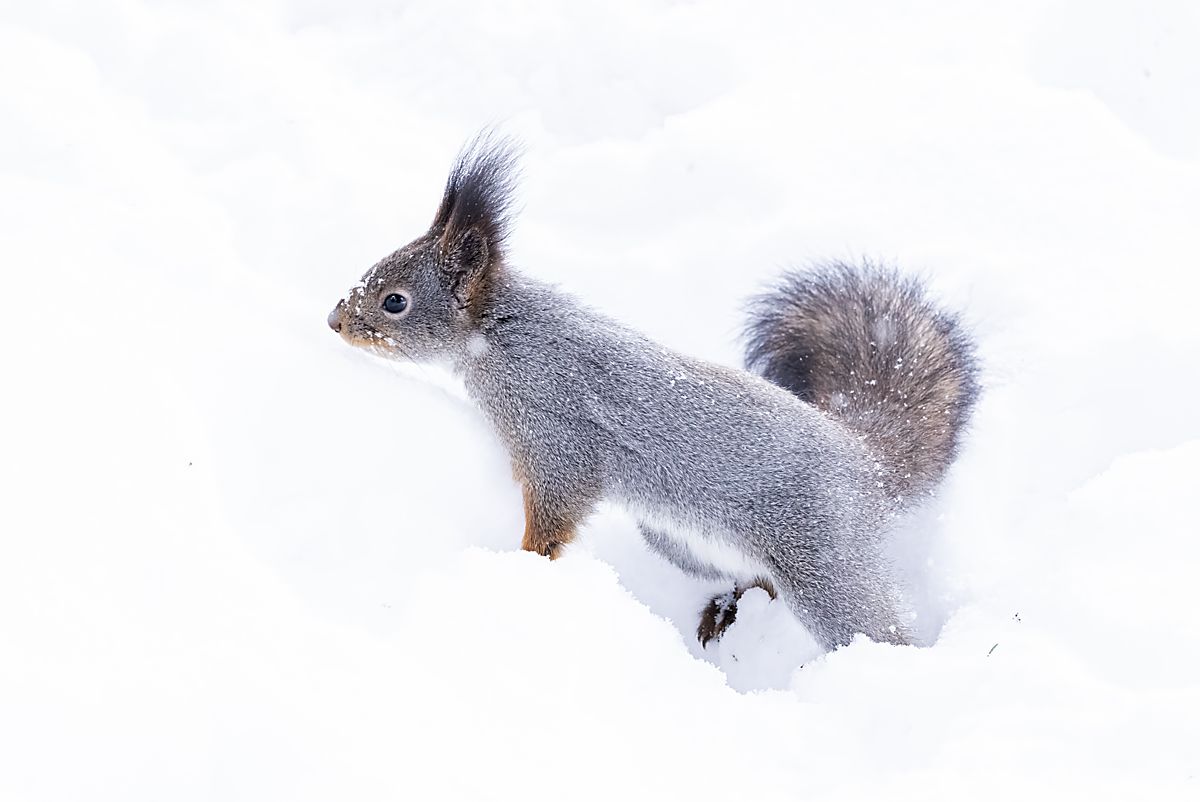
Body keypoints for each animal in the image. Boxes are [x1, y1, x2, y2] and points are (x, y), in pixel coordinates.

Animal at [326, 136, 974, 653]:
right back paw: (726, 611)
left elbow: (554, 513)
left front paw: (527, 566)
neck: (502, 339)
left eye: (394, 301)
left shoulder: (558, 435)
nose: (335, 321)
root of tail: (866, 464)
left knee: (871, 621)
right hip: (679, 538)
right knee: (754, 579)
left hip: (823, 556)